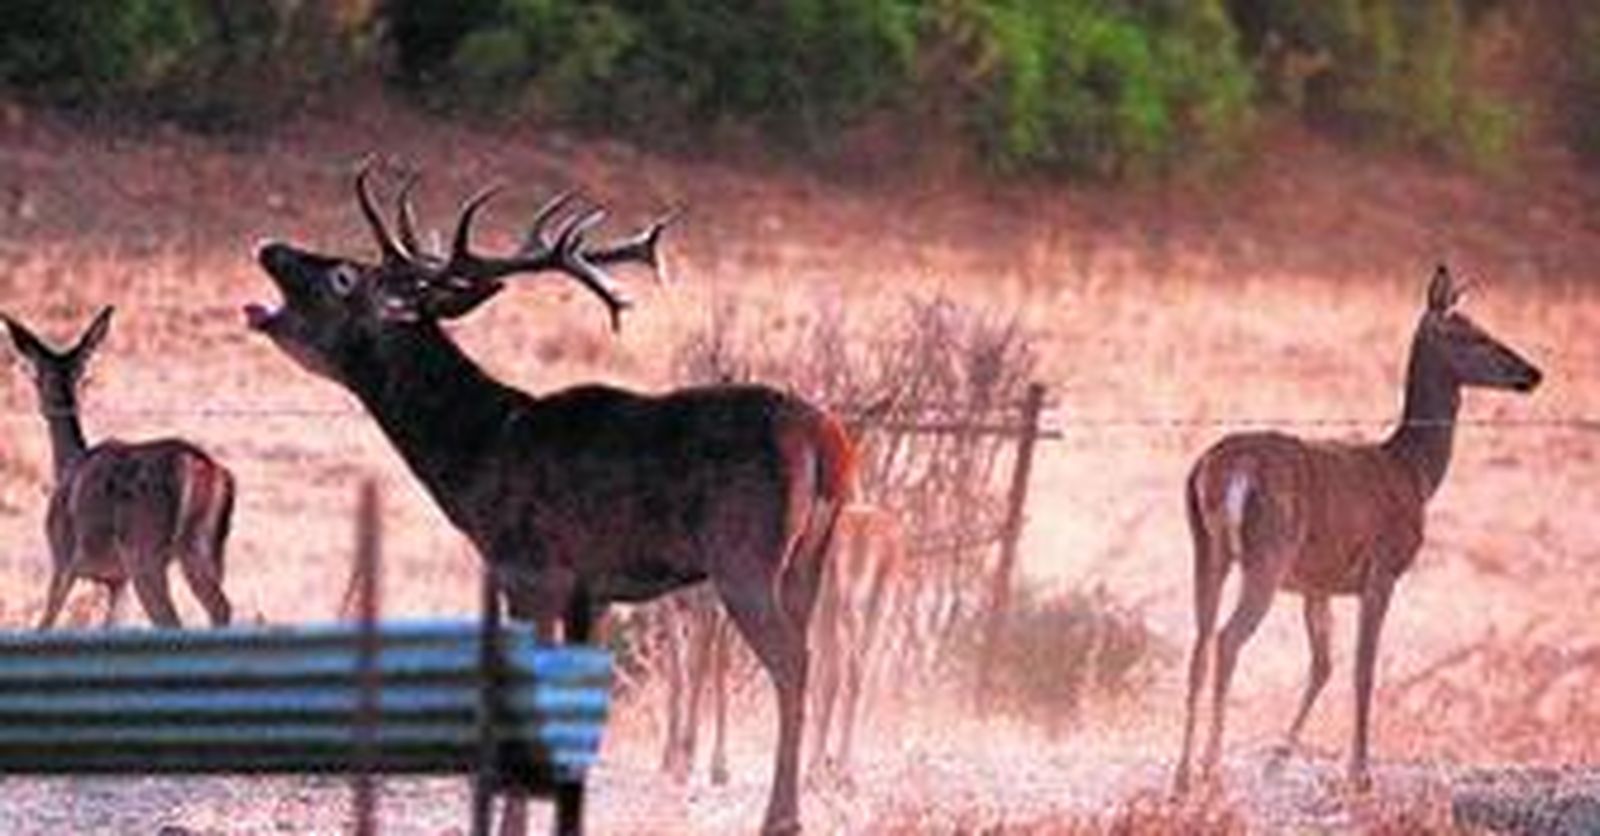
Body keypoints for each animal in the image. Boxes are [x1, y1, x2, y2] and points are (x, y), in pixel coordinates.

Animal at [2, 308, 236, 630]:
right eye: (83, 376)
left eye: (37, 377)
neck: (68, 464)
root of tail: (210, 472)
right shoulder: (117, 580)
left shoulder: (62, 559)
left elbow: (46, 622)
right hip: (207, 550)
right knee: (221, 608)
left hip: (146, 552)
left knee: (174, 619)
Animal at [247, 163, 854, 835]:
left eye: (343, 275)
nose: (270, 246)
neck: (481, 454)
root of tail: (827, 443)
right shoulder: (592, 589)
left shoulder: (527, 567)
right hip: (809, 560)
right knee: (813, 654)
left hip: (745, 555)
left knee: (792, 661)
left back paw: (781, 817)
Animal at [1172, 265, 1543, 795]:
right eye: (1470, 334)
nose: (1532, 373)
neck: (1413, 471)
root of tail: (1222, 468)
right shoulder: (1382, 568)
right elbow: (1363, 668)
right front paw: (1360, 774)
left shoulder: (1317, 583)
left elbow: (1323, 665)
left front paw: (1277, 761)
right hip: (1267, 554)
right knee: (1227, 640)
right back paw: (1211, 768)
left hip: (1207, 549)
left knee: (1199, 644)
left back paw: (1182, 775)